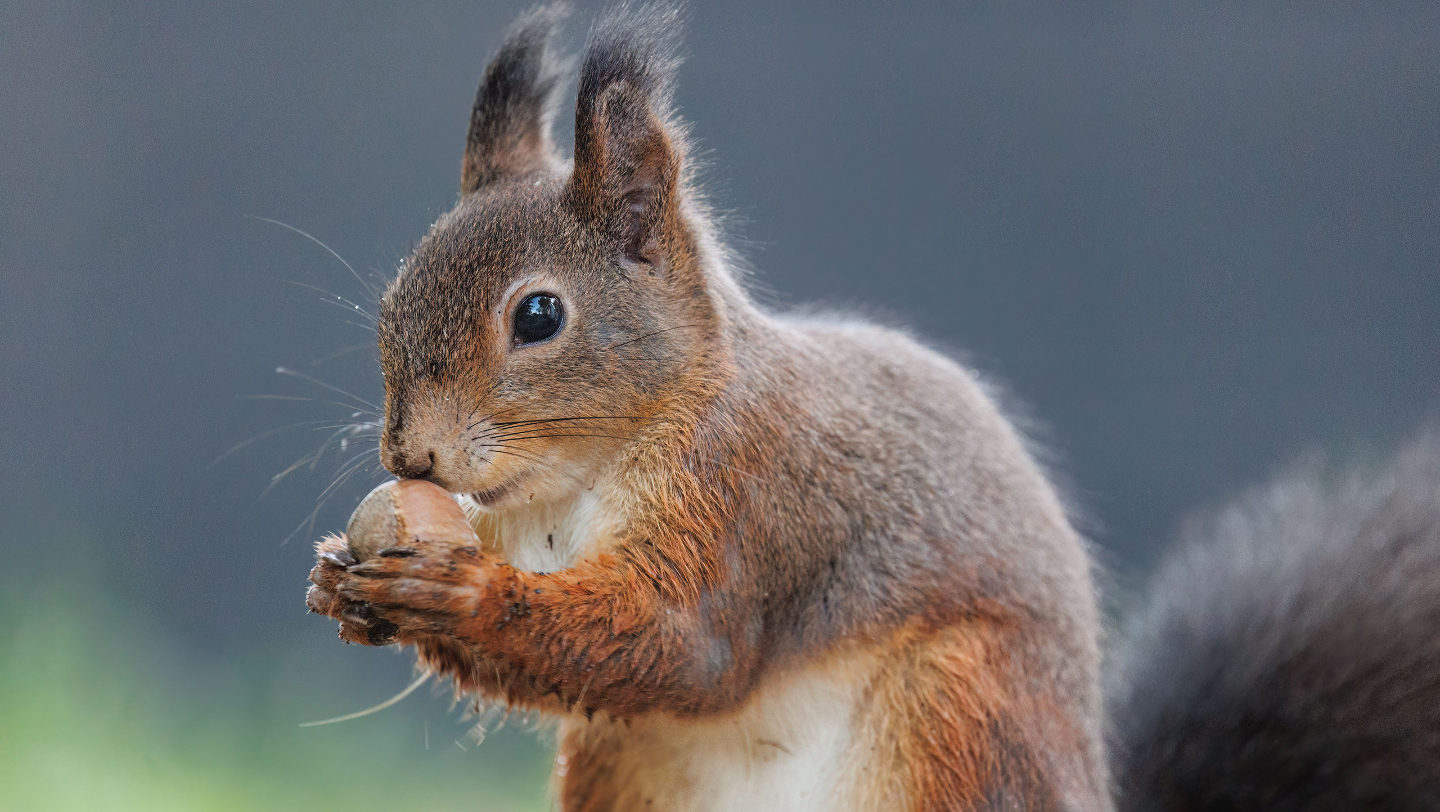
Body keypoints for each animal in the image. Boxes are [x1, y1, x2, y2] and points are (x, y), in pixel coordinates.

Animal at [305, 4, 1440, 811]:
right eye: (395, 295)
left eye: (539, 315)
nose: (407, 452)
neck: (576, 480)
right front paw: (341, 581)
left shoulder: (751, 498)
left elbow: (678, 644)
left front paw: (455, 589)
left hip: (957, 708)